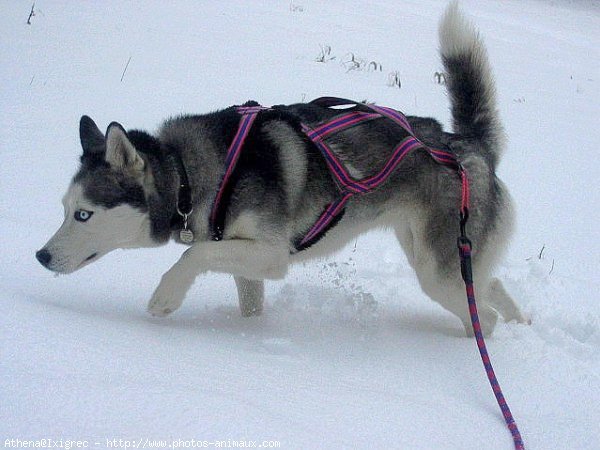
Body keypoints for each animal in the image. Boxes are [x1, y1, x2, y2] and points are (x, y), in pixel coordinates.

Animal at [37, 2, 528, 334]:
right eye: (63, 209)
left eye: (84, 214)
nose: (41, 256)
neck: (190, 176)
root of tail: (466, 144)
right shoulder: (243, 258)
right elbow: (245, 299)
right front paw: (251, 336)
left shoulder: (269, 253)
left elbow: (193, 254)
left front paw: (165, 298)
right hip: (438, 255)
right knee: (488, 285)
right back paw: (520, 322)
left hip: (436, 270)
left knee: (480, 311)